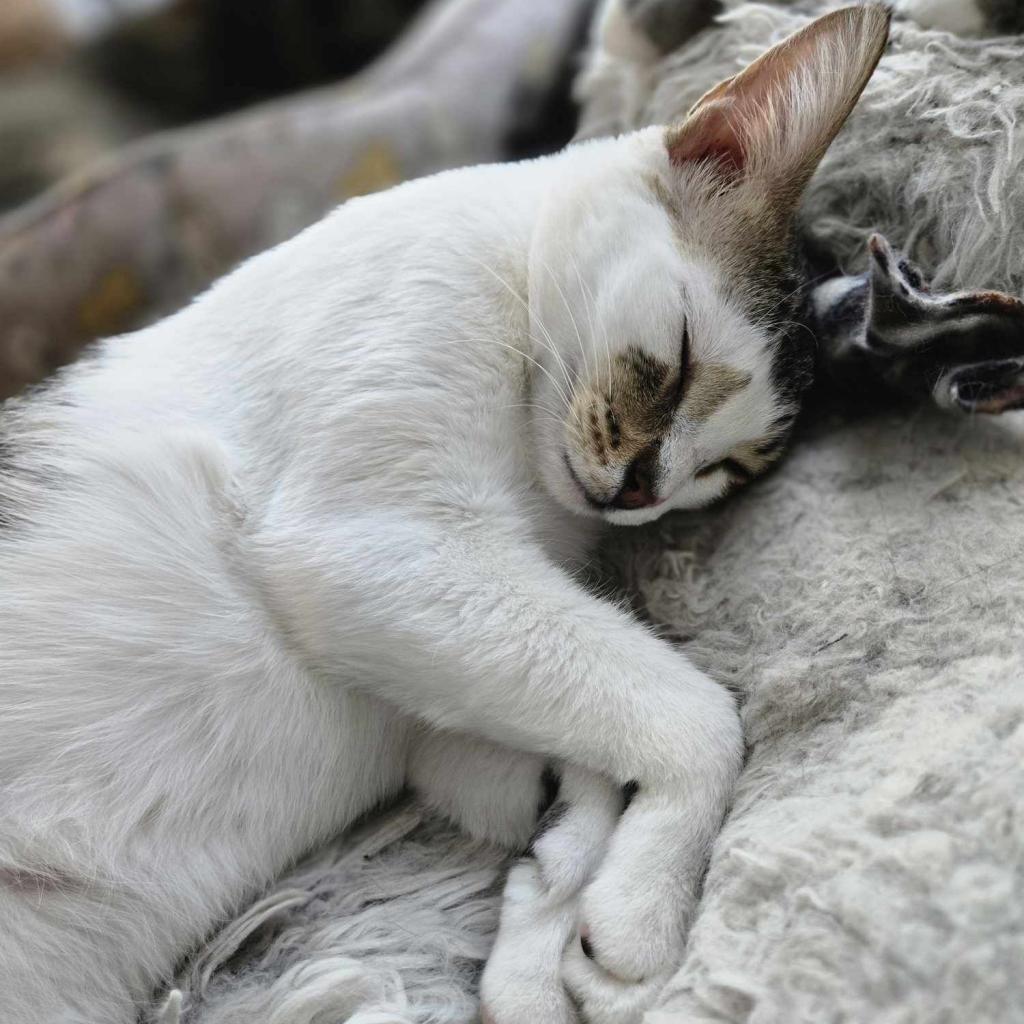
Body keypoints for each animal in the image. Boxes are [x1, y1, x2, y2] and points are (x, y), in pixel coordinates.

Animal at [0, 8, 888, 1024]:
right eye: (683, 356)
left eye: (728, 468)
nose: (642, 490)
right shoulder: (376, 545)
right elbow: (699, 713)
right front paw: (644, 907)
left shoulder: (446, 707)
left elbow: (573, 757)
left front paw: (555, 921)